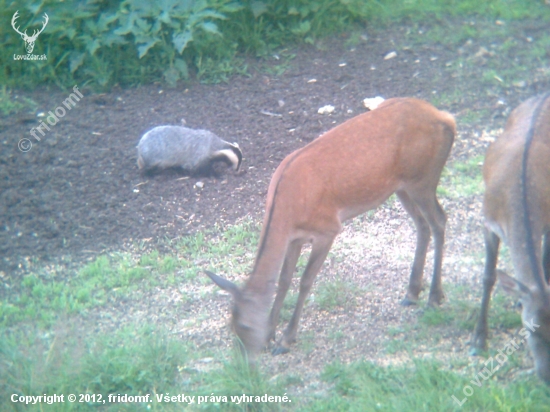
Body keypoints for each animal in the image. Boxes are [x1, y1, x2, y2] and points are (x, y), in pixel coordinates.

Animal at [207, 97, 458, 360]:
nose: (242, 361)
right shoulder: (295, 238)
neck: (287, 209)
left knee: (439, 220)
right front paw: (271, 334)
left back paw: (434, 297)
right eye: (230, 324)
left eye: (245, 325)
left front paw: (286, 339)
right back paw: (412, 293)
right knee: (422, 224)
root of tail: (447, 118)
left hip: (423, 180)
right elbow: (284, 280)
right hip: (403, 187)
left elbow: (305, 280)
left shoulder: (327, 229)